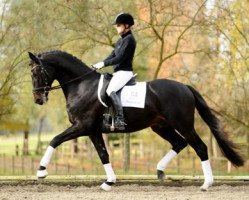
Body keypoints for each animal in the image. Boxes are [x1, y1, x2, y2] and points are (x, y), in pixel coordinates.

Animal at [27, 50, 243, 191]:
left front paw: (41, 172)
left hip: (183, 124)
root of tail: (185, 87)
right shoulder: (92, 130)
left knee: (200, 147)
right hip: (160, 126)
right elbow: (103, 154)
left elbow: (55, 140)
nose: (37, 99)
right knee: (179, 143)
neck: (81, 86)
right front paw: (109, 182)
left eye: (36, 72)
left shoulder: (82, 126)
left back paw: (206, 184)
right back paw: (160, 171)